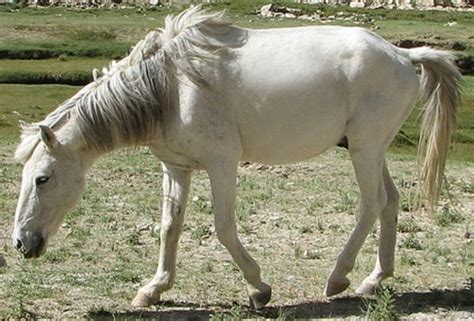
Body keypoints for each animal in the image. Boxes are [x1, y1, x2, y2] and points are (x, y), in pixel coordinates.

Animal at [12, 6, 462, 308]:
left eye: (42, 178)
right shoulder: (176, 168)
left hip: (365, 150)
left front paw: (258, 288)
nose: (21, 243)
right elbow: (169, 228)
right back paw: (374, 279)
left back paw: (338, 278)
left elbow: (224, 228)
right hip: (370, 149)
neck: (172, 88)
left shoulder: (222, 165)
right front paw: (153, 289)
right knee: (391, 203)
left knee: (372, 204)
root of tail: (403, 55)